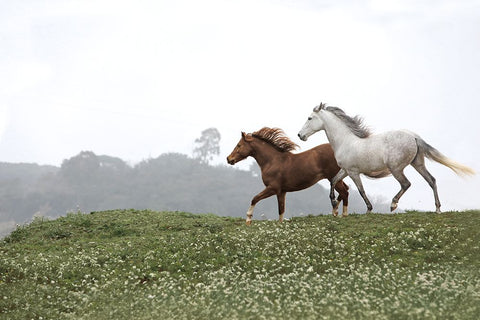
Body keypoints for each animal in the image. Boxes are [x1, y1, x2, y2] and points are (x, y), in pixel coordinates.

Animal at [298, 102, 474, 212]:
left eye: (309, 118)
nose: (300, 135)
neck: (346, 141)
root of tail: (414, 136)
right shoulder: (346, 170)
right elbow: (333, 181)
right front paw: (334, 204)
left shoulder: (354, 172)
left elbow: (361, 190)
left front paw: (369, 209)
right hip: (417, 164)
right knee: (431, 180)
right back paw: (437, 208)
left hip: (396, 168)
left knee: (406, 184)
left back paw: (393, 204)